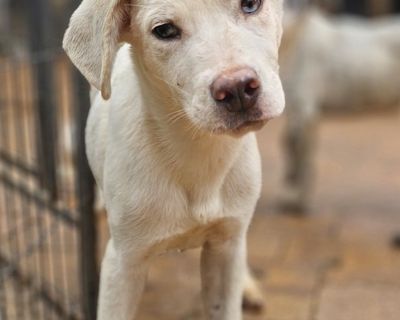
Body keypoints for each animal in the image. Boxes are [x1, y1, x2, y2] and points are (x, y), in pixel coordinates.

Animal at [64, 0, 286, 320]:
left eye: (250, 5)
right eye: (165, 30)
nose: (236, 89)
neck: (195, 150)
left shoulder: (225, 245)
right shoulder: (123, 264)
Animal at [278, 8, 400, 212]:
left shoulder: (305, 108)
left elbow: (303, 153)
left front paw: (301, 203)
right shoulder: (298, 110)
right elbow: (290, 144)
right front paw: (293, 179)